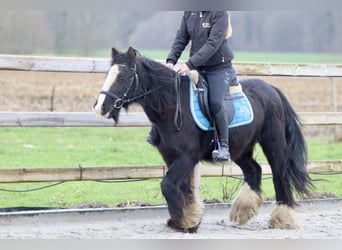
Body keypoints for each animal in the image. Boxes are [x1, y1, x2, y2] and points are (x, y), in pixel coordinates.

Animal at [93, 47, 312, 232]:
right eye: (108, 74)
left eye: (123, 77)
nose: (100, 107)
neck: (173, 107)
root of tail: (272, 89)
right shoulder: (171, 156)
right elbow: (180, 188)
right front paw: (187, 220)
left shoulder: (187, 157)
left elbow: (168, 185)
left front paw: (186, 221)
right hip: (240, 149)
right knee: (254, 170)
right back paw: (242, 211)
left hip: (273, 144)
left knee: (279, 173)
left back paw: (283, 218)